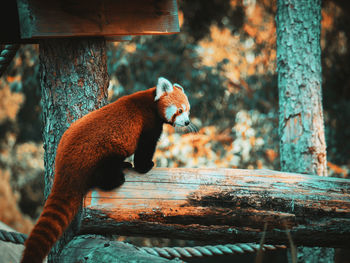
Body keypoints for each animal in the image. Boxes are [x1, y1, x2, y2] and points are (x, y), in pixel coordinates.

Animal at [21, 77, 191, 262]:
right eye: (180, 110)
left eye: (188, 111)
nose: (187, 122)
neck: (151, 102)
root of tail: (63, 164)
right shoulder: (147, 124)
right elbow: (144, 149)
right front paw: (146, 166)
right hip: (98, 154)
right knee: (104, 174)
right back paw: (115, 176)